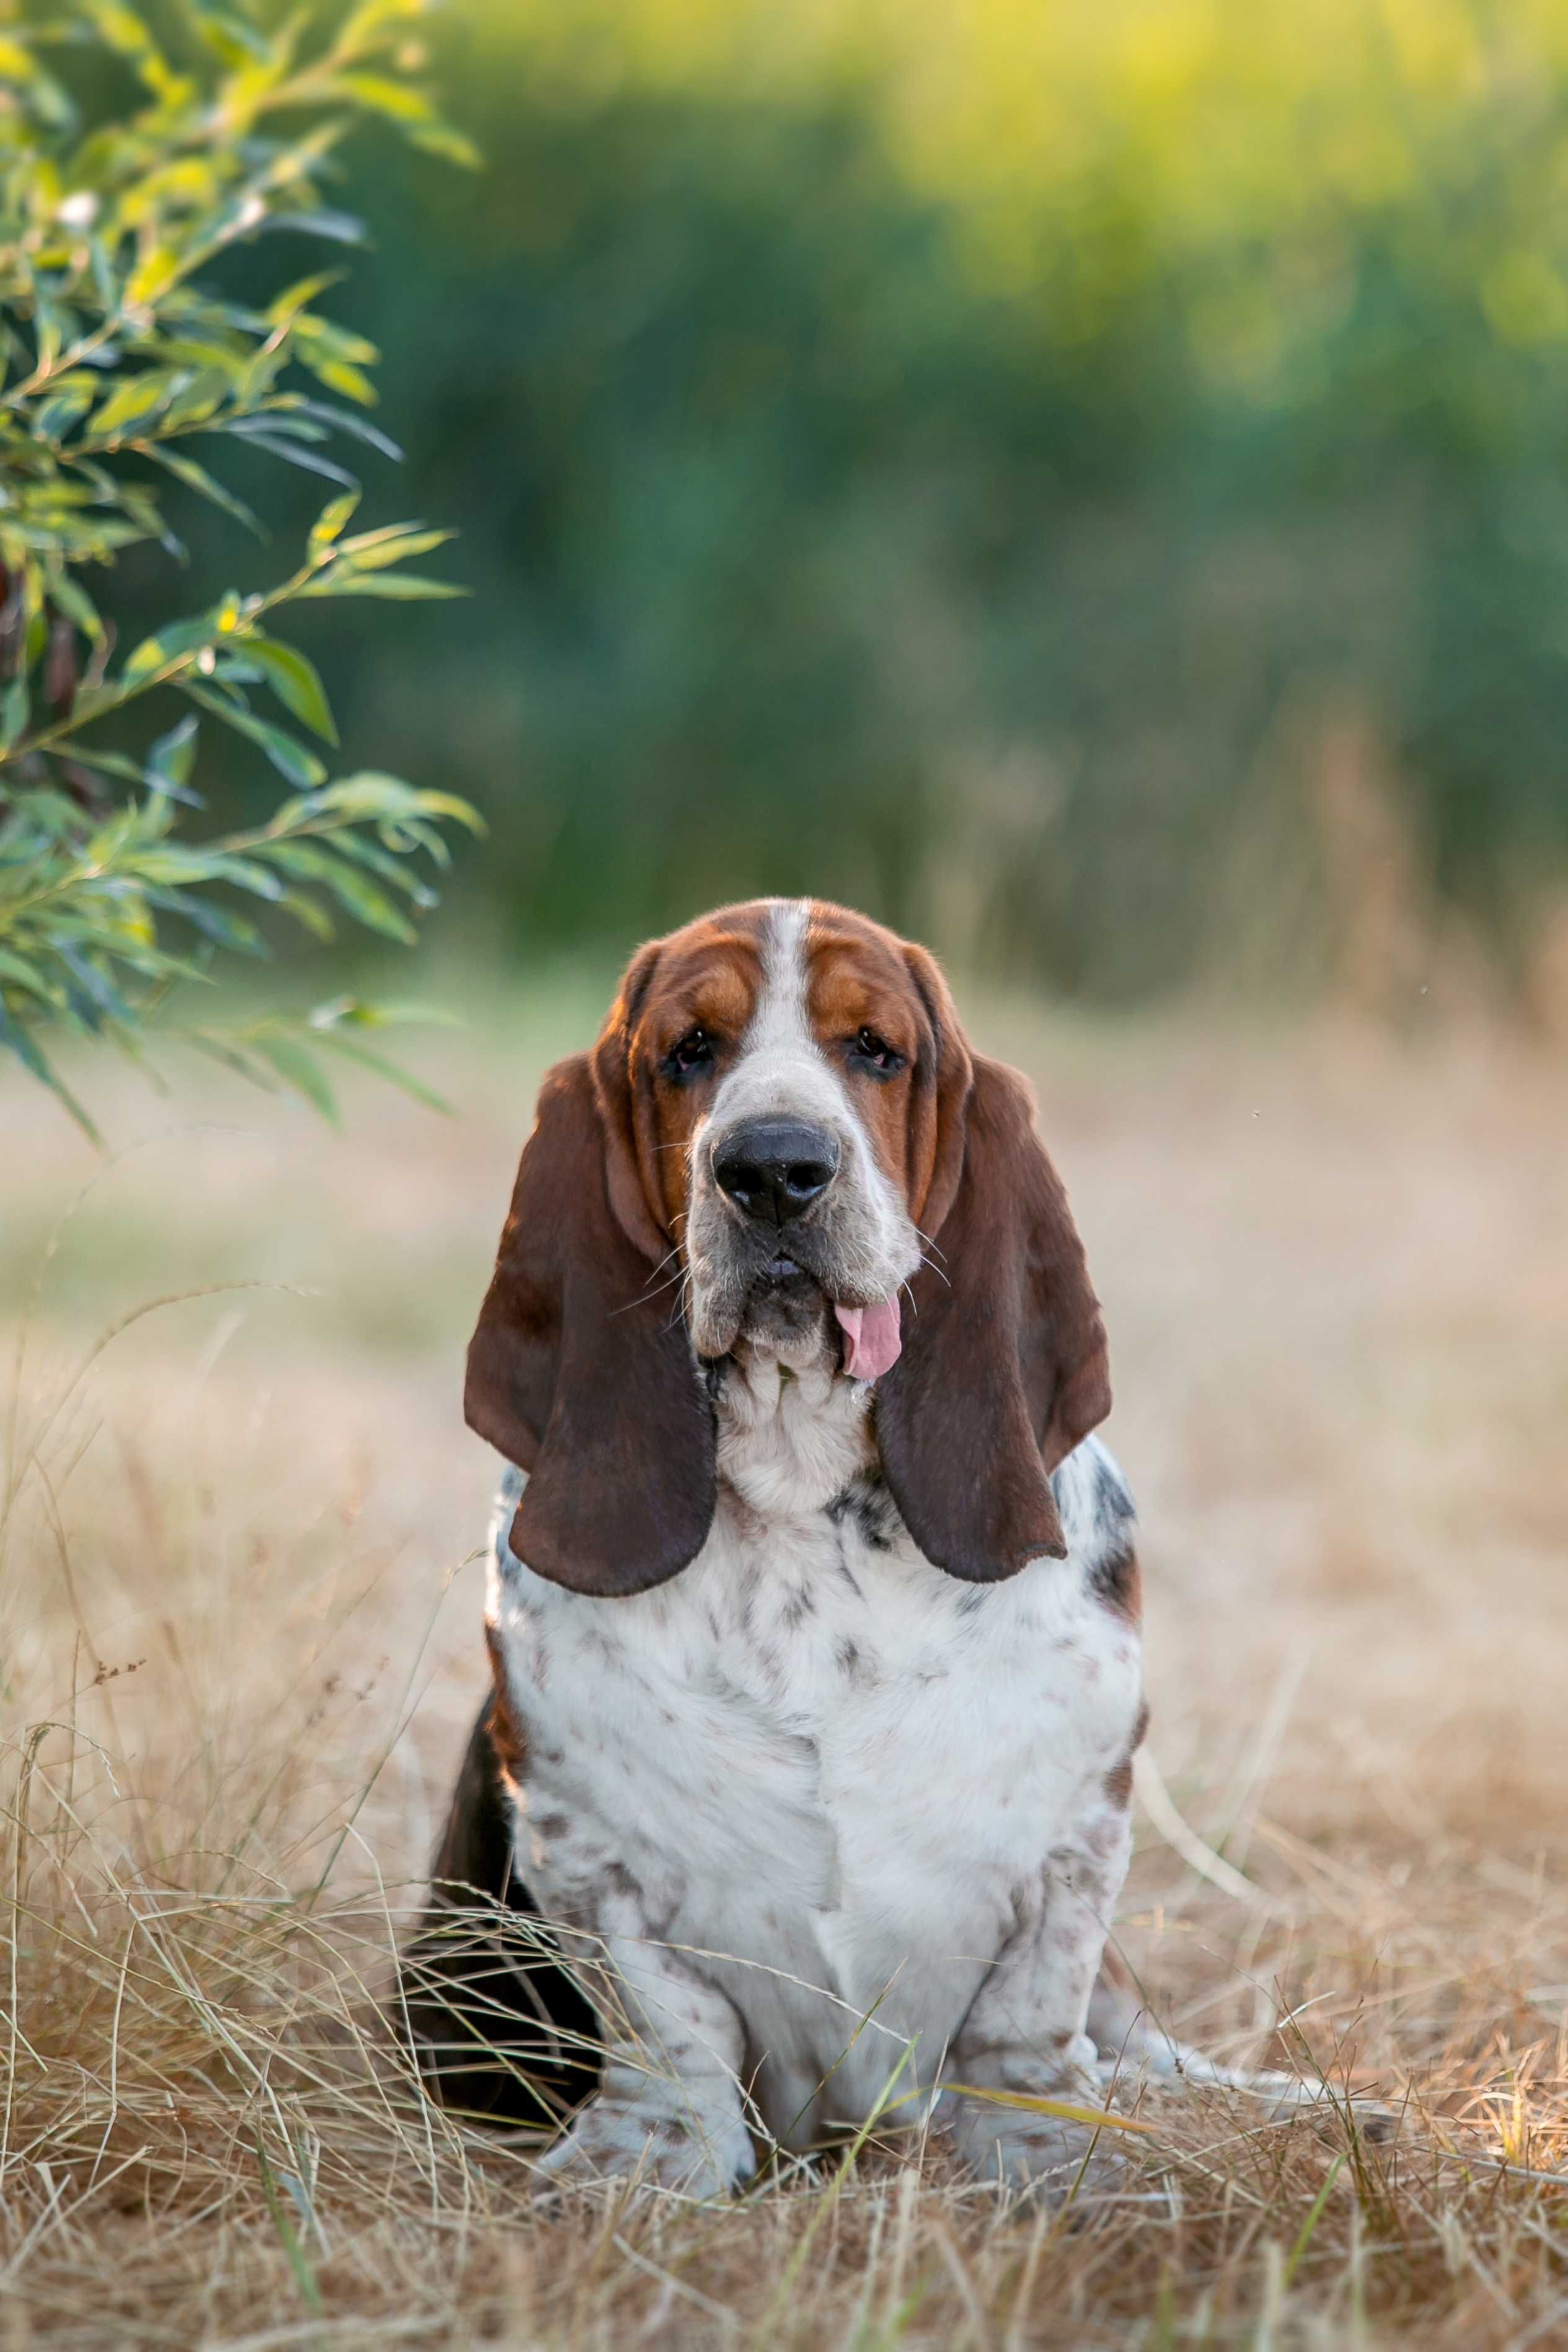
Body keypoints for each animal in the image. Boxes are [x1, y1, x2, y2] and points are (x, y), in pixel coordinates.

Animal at [399, 894, 1297, 2182]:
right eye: (687, 1051)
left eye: (874, 1048)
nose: (772, 1168)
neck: (798, 1501)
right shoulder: (588, 1848)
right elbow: (664, 2027)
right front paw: (641, 2170)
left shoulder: (1075, 1835)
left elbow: (1030, 2024)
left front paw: (1053, 2162)